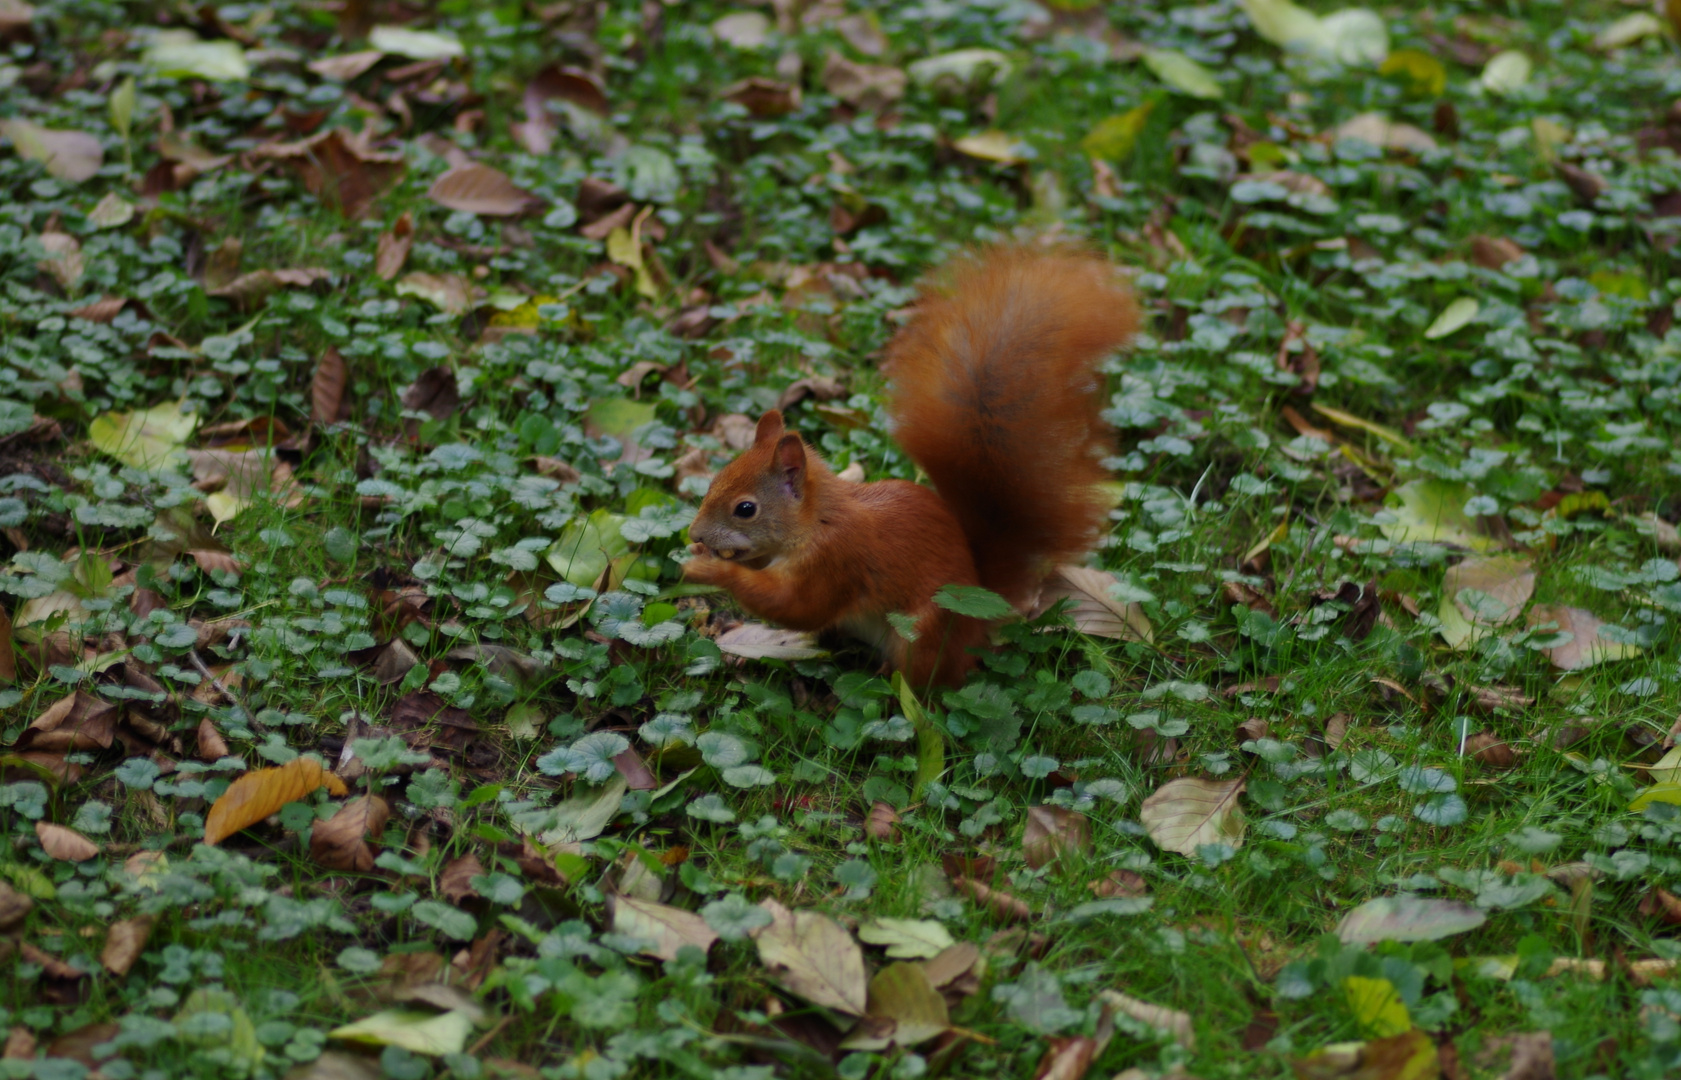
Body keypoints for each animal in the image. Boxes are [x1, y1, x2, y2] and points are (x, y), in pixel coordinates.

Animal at [682, 248, 1143, 686]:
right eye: (714, 481)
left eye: (746, 509)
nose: (695, 533)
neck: (816, 521)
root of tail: (978, 618)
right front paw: (704, 554)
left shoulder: (837, 560)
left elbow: (797, 606)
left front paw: (709, 567)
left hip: (924, 632)